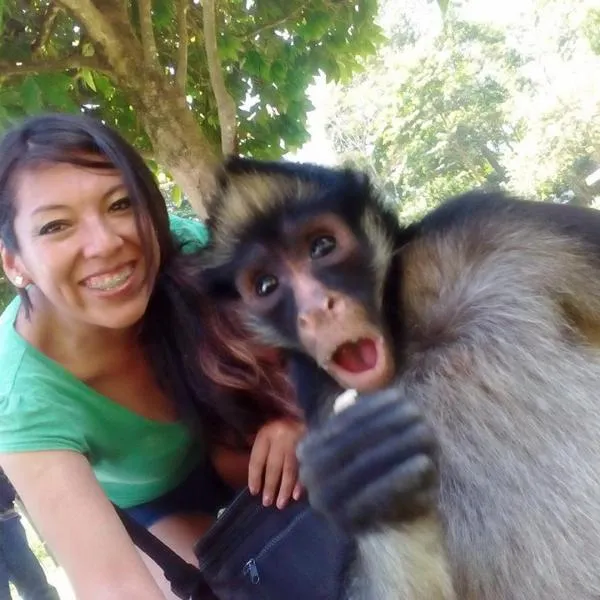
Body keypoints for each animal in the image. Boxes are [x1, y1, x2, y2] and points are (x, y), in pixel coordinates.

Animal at [199, 156, 600, 600]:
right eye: (266, 284)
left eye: (321, 247)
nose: (317, 308)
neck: (406, 340)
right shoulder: (316, 390)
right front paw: (359, 484)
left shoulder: (477, 222)